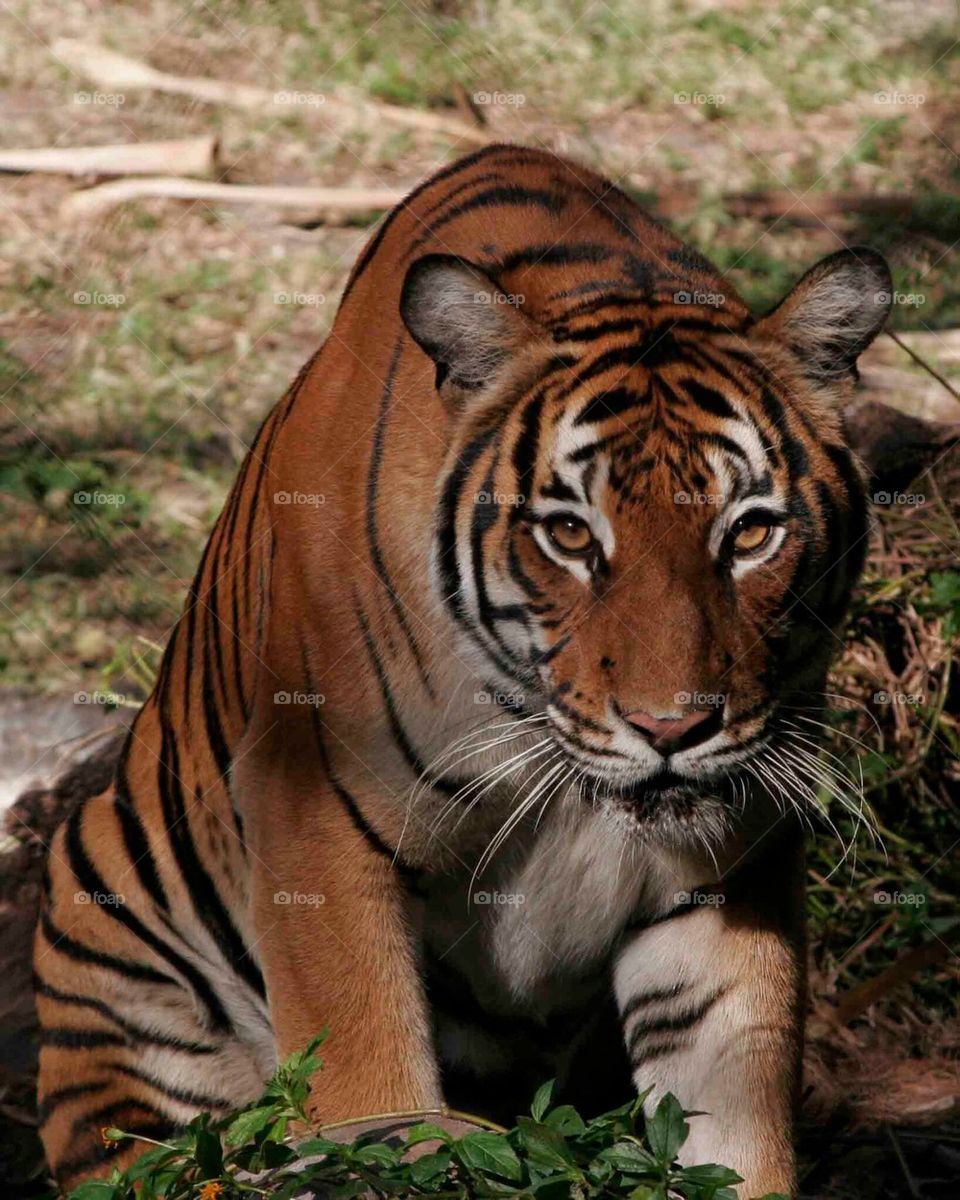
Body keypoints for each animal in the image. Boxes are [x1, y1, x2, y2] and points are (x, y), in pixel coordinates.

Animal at [33, 142, 890, 1197]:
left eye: (751, 533)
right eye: (571, 534)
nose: (673, 730)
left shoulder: (727, 871)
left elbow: (734, 1127)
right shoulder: (313, 816)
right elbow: (367, 1089)